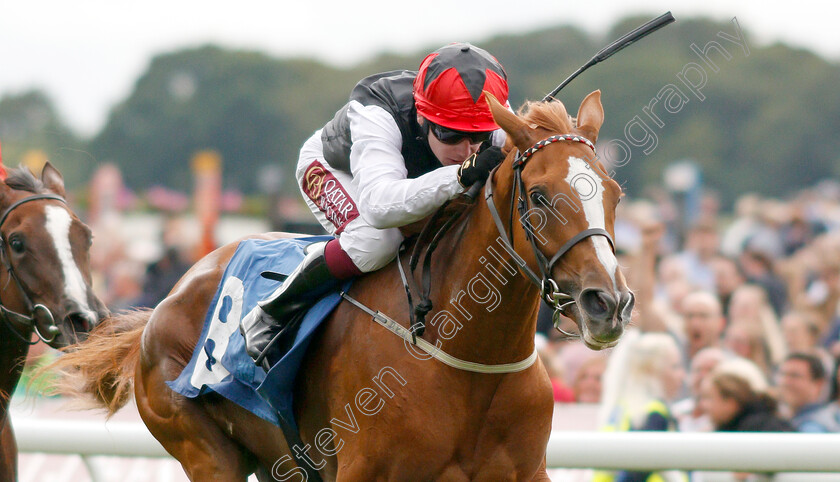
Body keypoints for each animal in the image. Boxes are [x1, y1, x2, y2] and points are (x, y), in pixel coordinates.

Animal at [50, 92, 632, 480]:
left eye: (614, 192)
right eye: (539, 196)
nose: (608, 303)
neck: (472, 360)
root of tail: (166, 301)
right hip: (202, 447)